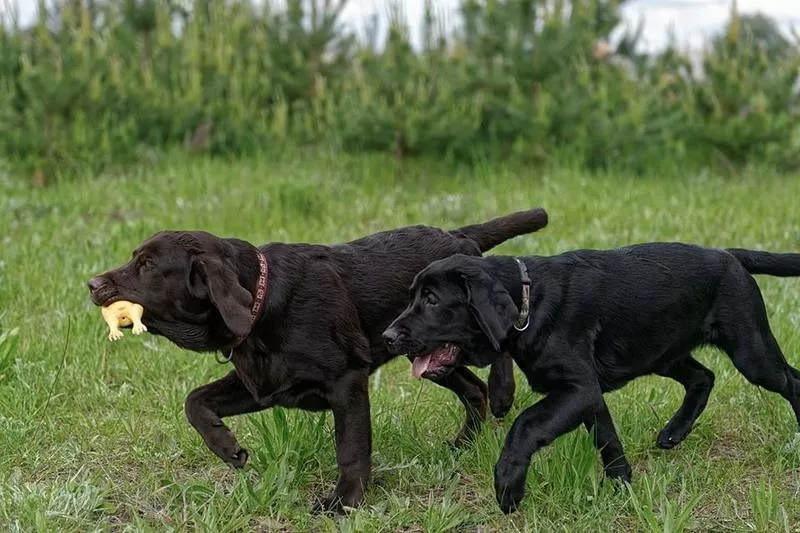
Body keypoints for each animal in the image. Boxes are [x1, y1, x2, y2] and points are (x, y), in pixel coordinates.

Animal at [89, 207, 552, 508]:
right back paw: (462, 444)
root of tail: (460, 237)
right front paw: (226, 447)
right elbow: (195, 401)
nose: (92, 283)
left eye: (147, 266)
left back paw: (503, 392)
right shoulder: (262, 383)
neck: (263, 304)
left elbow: (351, 447)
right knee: (472, 390)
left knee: (497, 350)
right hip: (429, 355)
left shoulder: (346, 381)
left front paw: (345, 501)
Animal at [382, 242, 800, 512]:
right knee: (704, 377)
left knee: (790, 381)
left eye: (432, 300)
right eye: (413, 296)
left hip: (750, 351)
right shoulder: (587, 393)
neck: (528, 301)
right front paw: (622, 485)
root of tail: (729, 255)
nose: (388, 336)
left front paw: (508, 486)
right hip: (663, 352)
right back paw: (673, 432)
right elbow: (608, 440)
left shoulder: (577, 388)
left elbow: (525, 424)